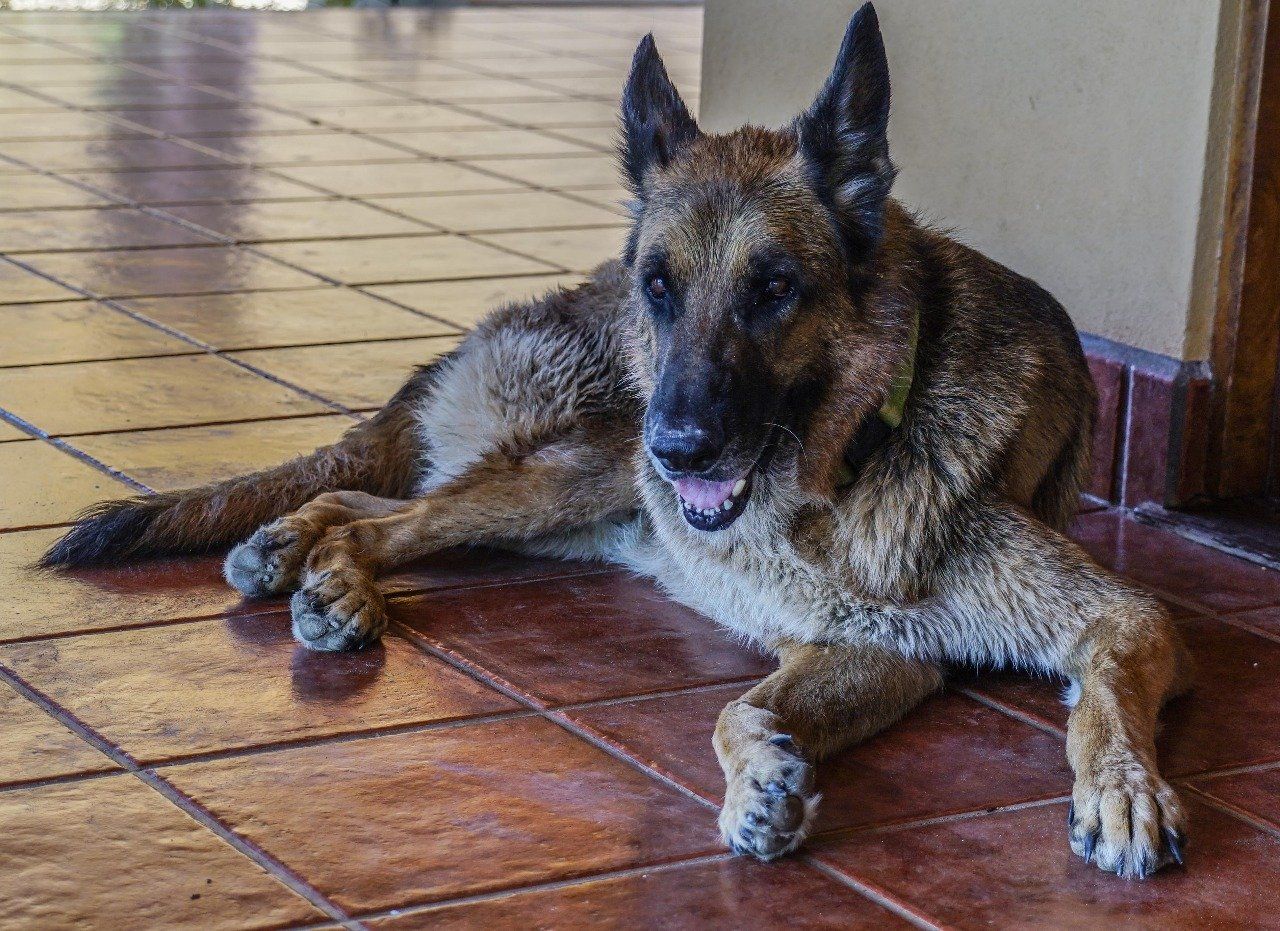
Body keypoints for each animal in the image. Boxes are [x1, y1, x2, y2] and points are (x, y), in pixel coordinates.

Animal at [44, 4, 1191, 878]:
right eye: (661, 285)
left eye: (776, 288)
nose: (680, 449)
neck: (850, 466)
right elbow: (730, 713)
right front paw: (761, 780)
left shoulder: (972, 641)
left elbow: (1088, 698)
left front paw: (1120, 788)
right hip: (590, 465)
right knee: (388, 511)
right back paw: (316, 565)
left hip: (587, 505)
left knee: (367, 503)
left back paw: (309, 559)